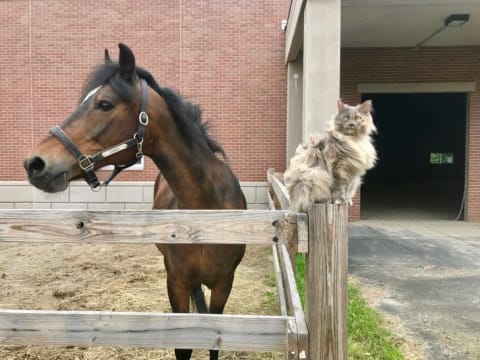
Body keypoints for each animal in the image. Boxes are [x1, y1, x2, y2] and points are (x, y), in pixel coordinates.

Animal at [22, 43, 248, 360]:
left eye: (104, 104)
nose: (35, 163)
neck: (206, 214)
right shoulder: (176, 283)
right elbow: (184, 346)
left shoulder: (224, 284)